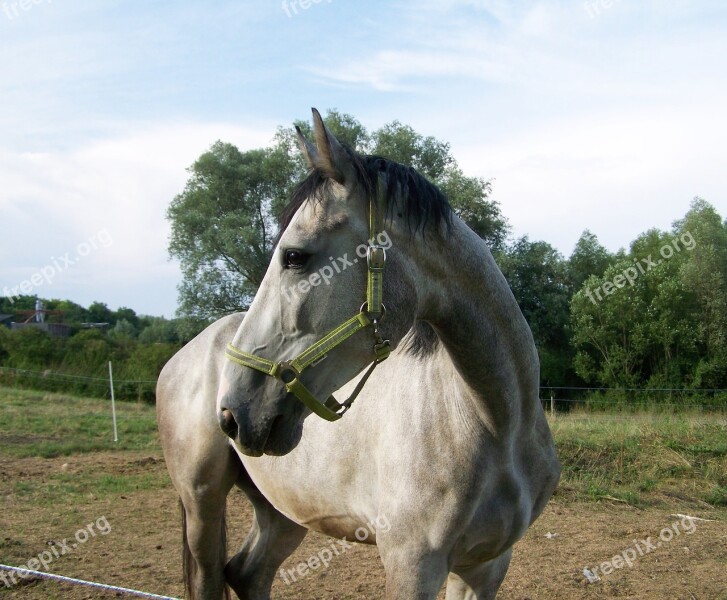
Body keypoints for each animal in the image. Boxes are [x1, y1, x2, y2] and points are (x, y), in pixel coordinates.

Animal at [156, 109, 560, 600]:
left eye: (294, 256)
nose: (233, 412)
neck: (494, 423)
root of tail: (185, 354)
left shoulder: (486, 566)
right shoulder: (412, 567)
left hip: (284, 511)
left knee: (248, 573)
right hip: (202, 502)